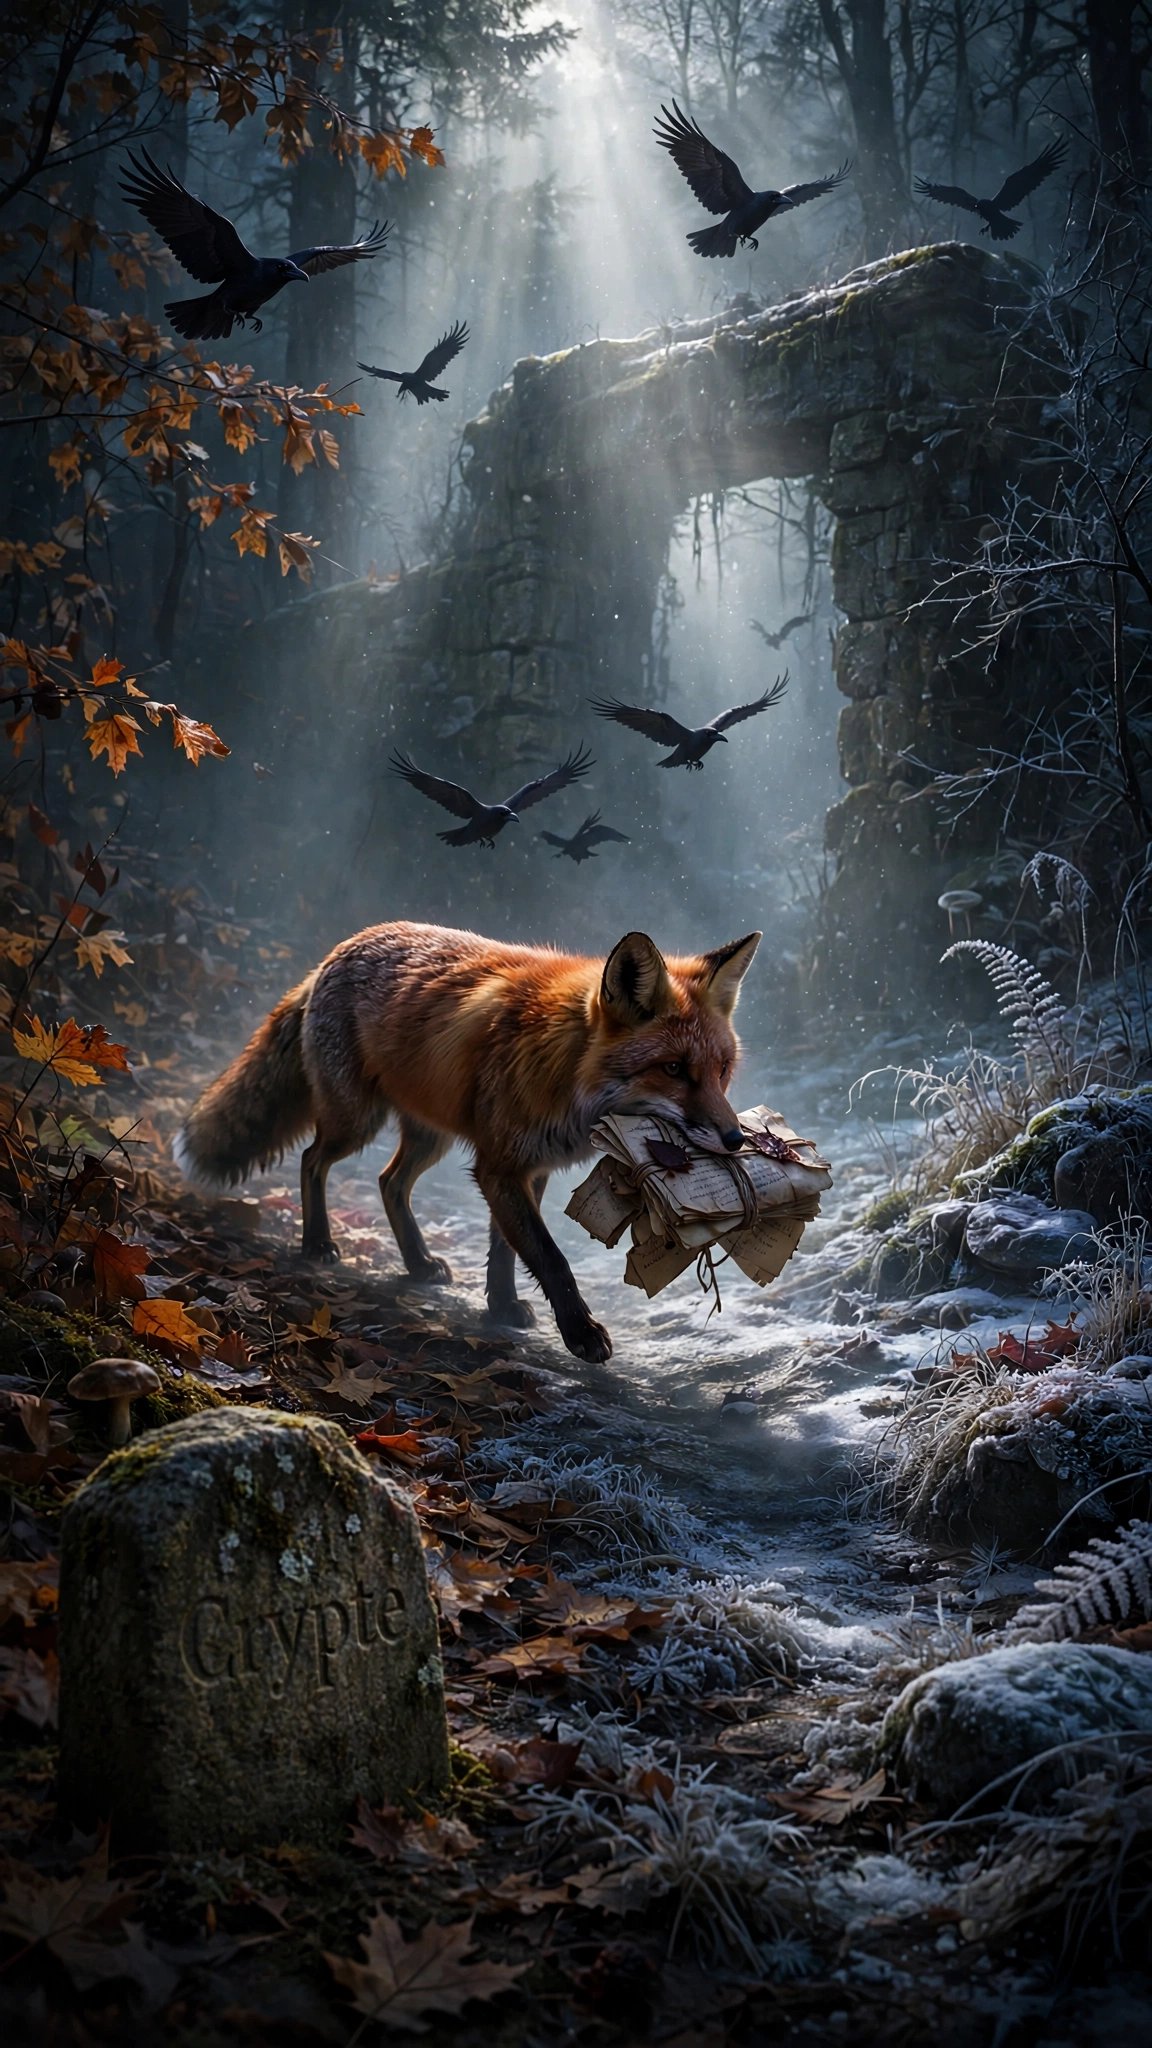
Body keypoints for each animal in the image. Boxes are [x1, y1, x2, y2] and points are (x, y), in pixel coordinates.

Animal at [174, 920, 761, 1363]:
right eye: (674, 1070)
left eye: (722, 1070)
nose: (735, 1139)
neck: (565, 1067)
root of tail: (336, 952)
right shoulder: (500, 1167)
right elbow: (550, 1258)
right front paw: (580, 1333)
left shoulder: (528, 1167)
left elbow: (506, 1250)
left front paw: (501, 1307)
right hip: (355, 1120)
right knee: (312, 1159)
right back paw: (317, 1242)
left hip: (427, 1136)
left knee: (389, 1183)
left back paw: (416, 1262)